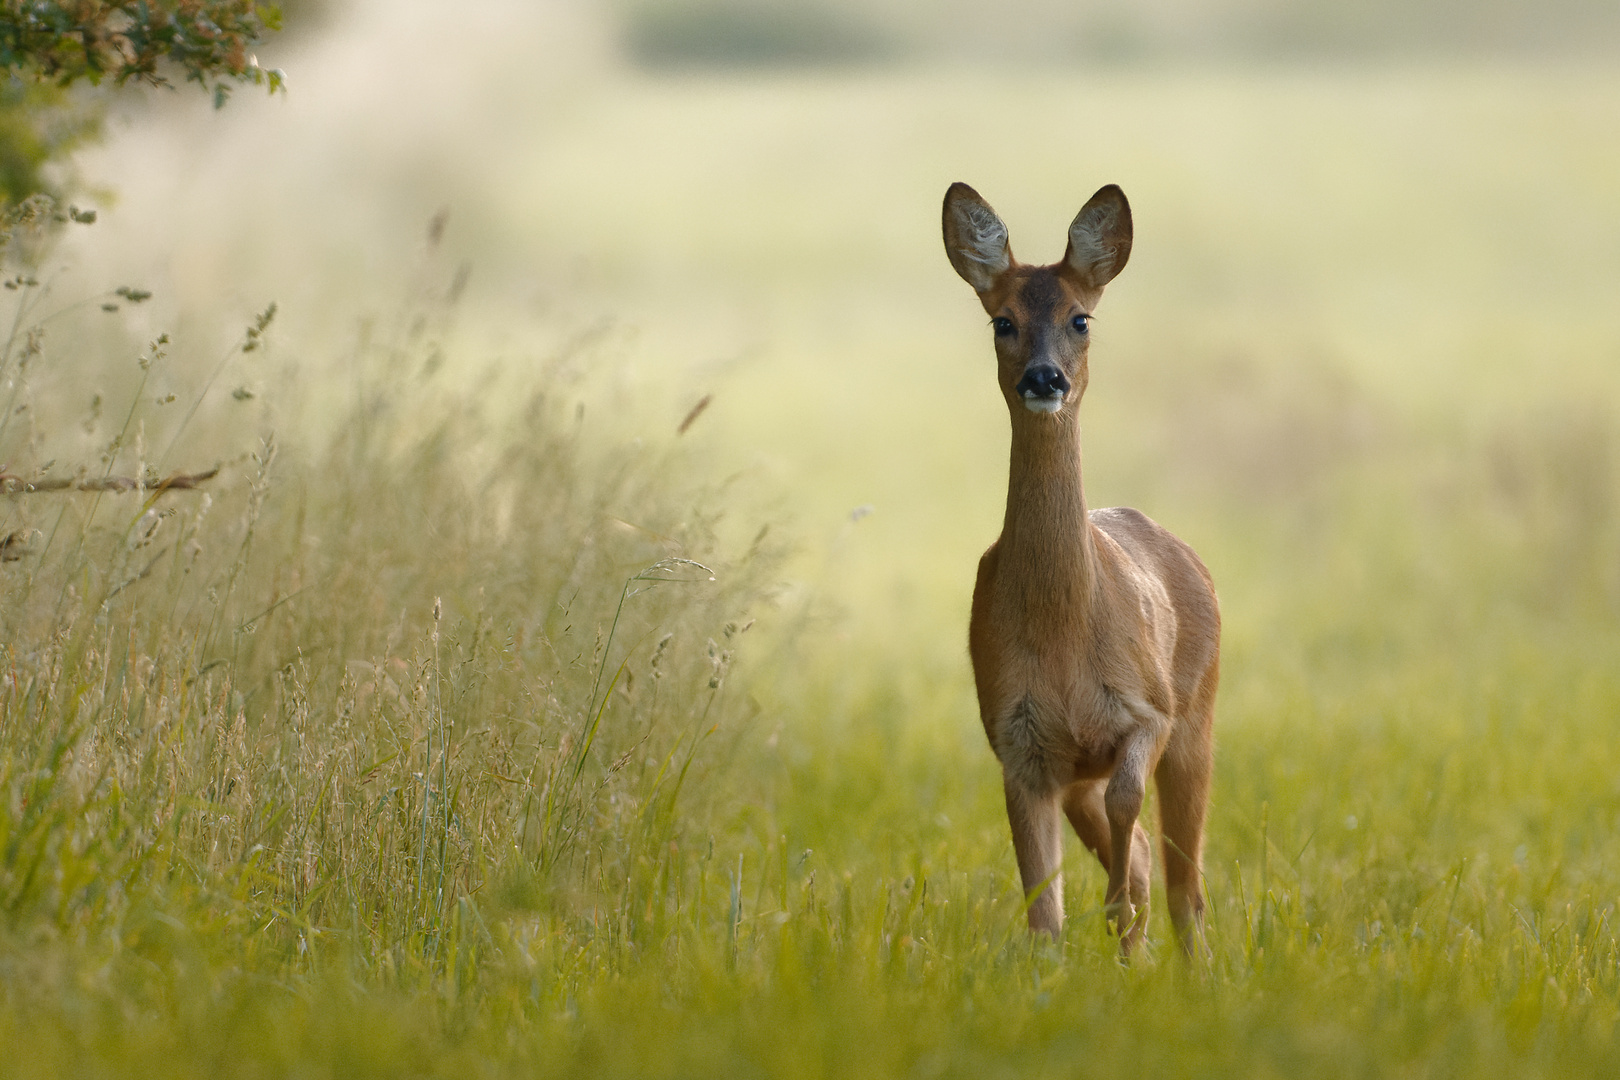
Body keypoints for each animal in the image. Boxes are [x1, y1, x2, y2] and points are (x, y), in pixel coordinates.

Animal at [946, 181, 1218, 958]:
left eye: (1080, 318)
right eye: (1002, 321)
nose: (1046, 378)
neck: (1065, 631)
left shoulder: (1149, 708)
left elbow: (1131, 815)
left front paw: (1118, 916)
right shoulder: (1018, 742)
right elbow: (1043, 915)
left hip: (1199, 716)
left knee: (1187, 884)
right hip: (1080, 776)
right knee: (1155, 861)